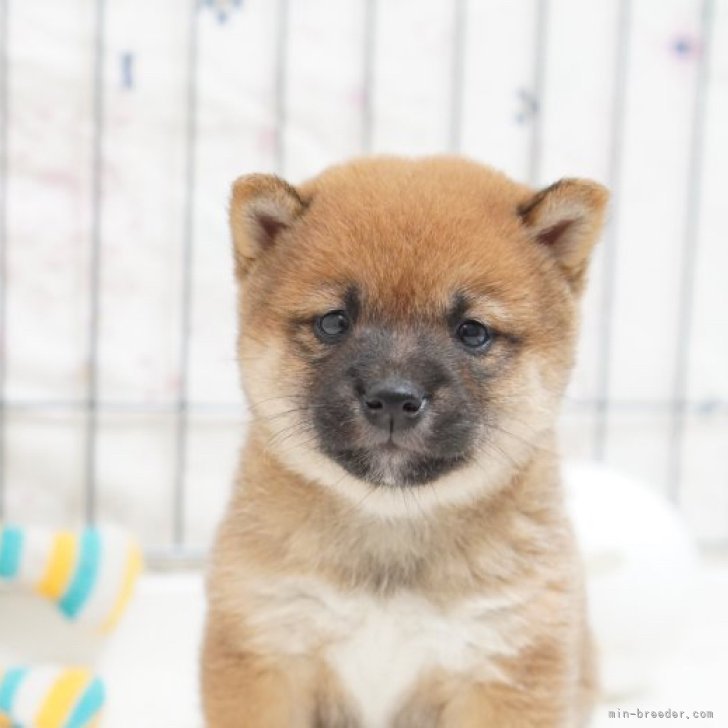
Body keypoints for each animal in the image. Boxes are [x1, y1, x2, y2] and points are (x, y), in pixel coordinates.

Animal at [200, 156, 608, 724]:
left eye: (472, 331)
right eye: (334, 322)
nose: (393, 398)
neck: (391, 527)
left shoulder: (505, 664)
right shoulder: (267, 648)